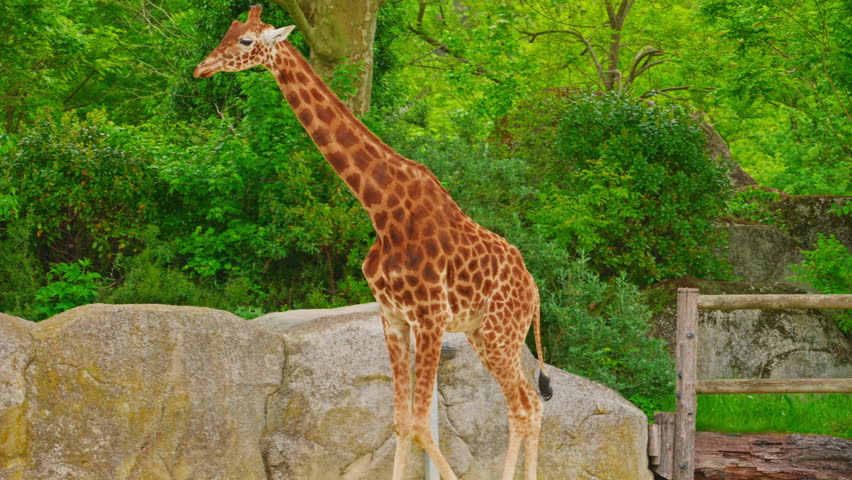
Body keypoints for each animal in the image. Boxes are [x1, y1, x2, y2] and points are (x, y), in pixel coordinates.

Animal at [195, 6, 552, 479]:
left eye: (246, 41)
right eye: (228, 32)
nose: (201, 68)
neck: (381, 208)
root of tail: (534, 291)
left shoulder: (431, 316)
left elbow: (419, 423)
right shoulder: (393, 315)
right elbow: (401, 421)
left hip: (500, 332)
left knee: (526, 406)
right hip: (482, 333)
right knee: (527, 405)